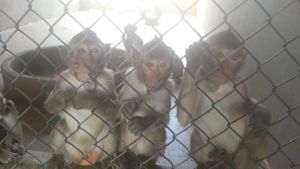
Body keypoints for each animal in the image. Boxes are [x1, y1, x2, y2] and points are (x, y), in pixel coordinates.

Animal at [44, 29, 119, 169]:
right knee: (60, 128)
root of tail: (83, 155)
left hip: (98, 147)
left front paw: (82, 98)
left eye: (94, 51)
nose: (88, 63)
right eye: (81, 51)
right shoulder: (62, 79)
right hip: (68, 147)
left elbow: (116, 108)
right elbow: (49, 107)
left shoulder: (108, 79)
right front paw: (61, 98)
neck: (83, 80)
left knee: (110, 128)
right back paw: (57, 158)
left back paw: (106, 160)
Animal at [116, 37, 178, 169]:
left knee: (157, 131)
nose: (155, 78)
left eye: (162, 65)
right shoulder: (130, 77)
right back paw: (121, 156)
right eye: (149, 65)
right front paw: (127, 107)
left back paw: (145, 159)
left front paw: (141, 122)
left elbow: (163, 120)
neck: (146, 89)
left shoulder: (167, 90)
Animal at [177, 30, 270, 169]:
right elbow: (184, 118)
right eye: (219, 54)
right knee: (196, 137)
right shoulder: (199, 79)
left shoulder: (240, 84)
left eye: (234, 58)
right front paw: (194, 59)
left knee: (254, 139)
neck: (216, 87)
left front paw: (262, 116)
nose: (223, 68)